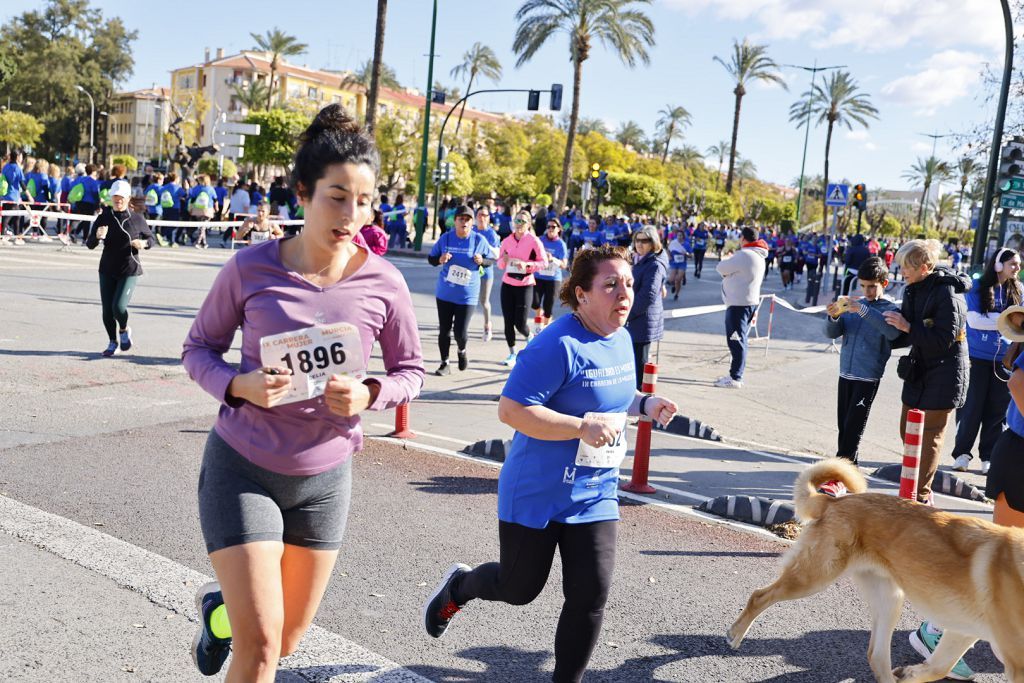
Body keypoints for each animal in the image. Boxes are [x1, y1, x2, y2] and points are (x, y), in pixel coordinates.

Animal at [729, 458, 1024, 683]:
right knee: (760, 596)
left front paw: (910, 673)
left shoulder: (963, 631)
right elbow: (939, 666)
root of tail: (836, 502)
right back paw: (736, 634)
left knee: (876, 655)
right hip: (813, 578)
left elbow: (939, 667)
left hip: (889, 599)